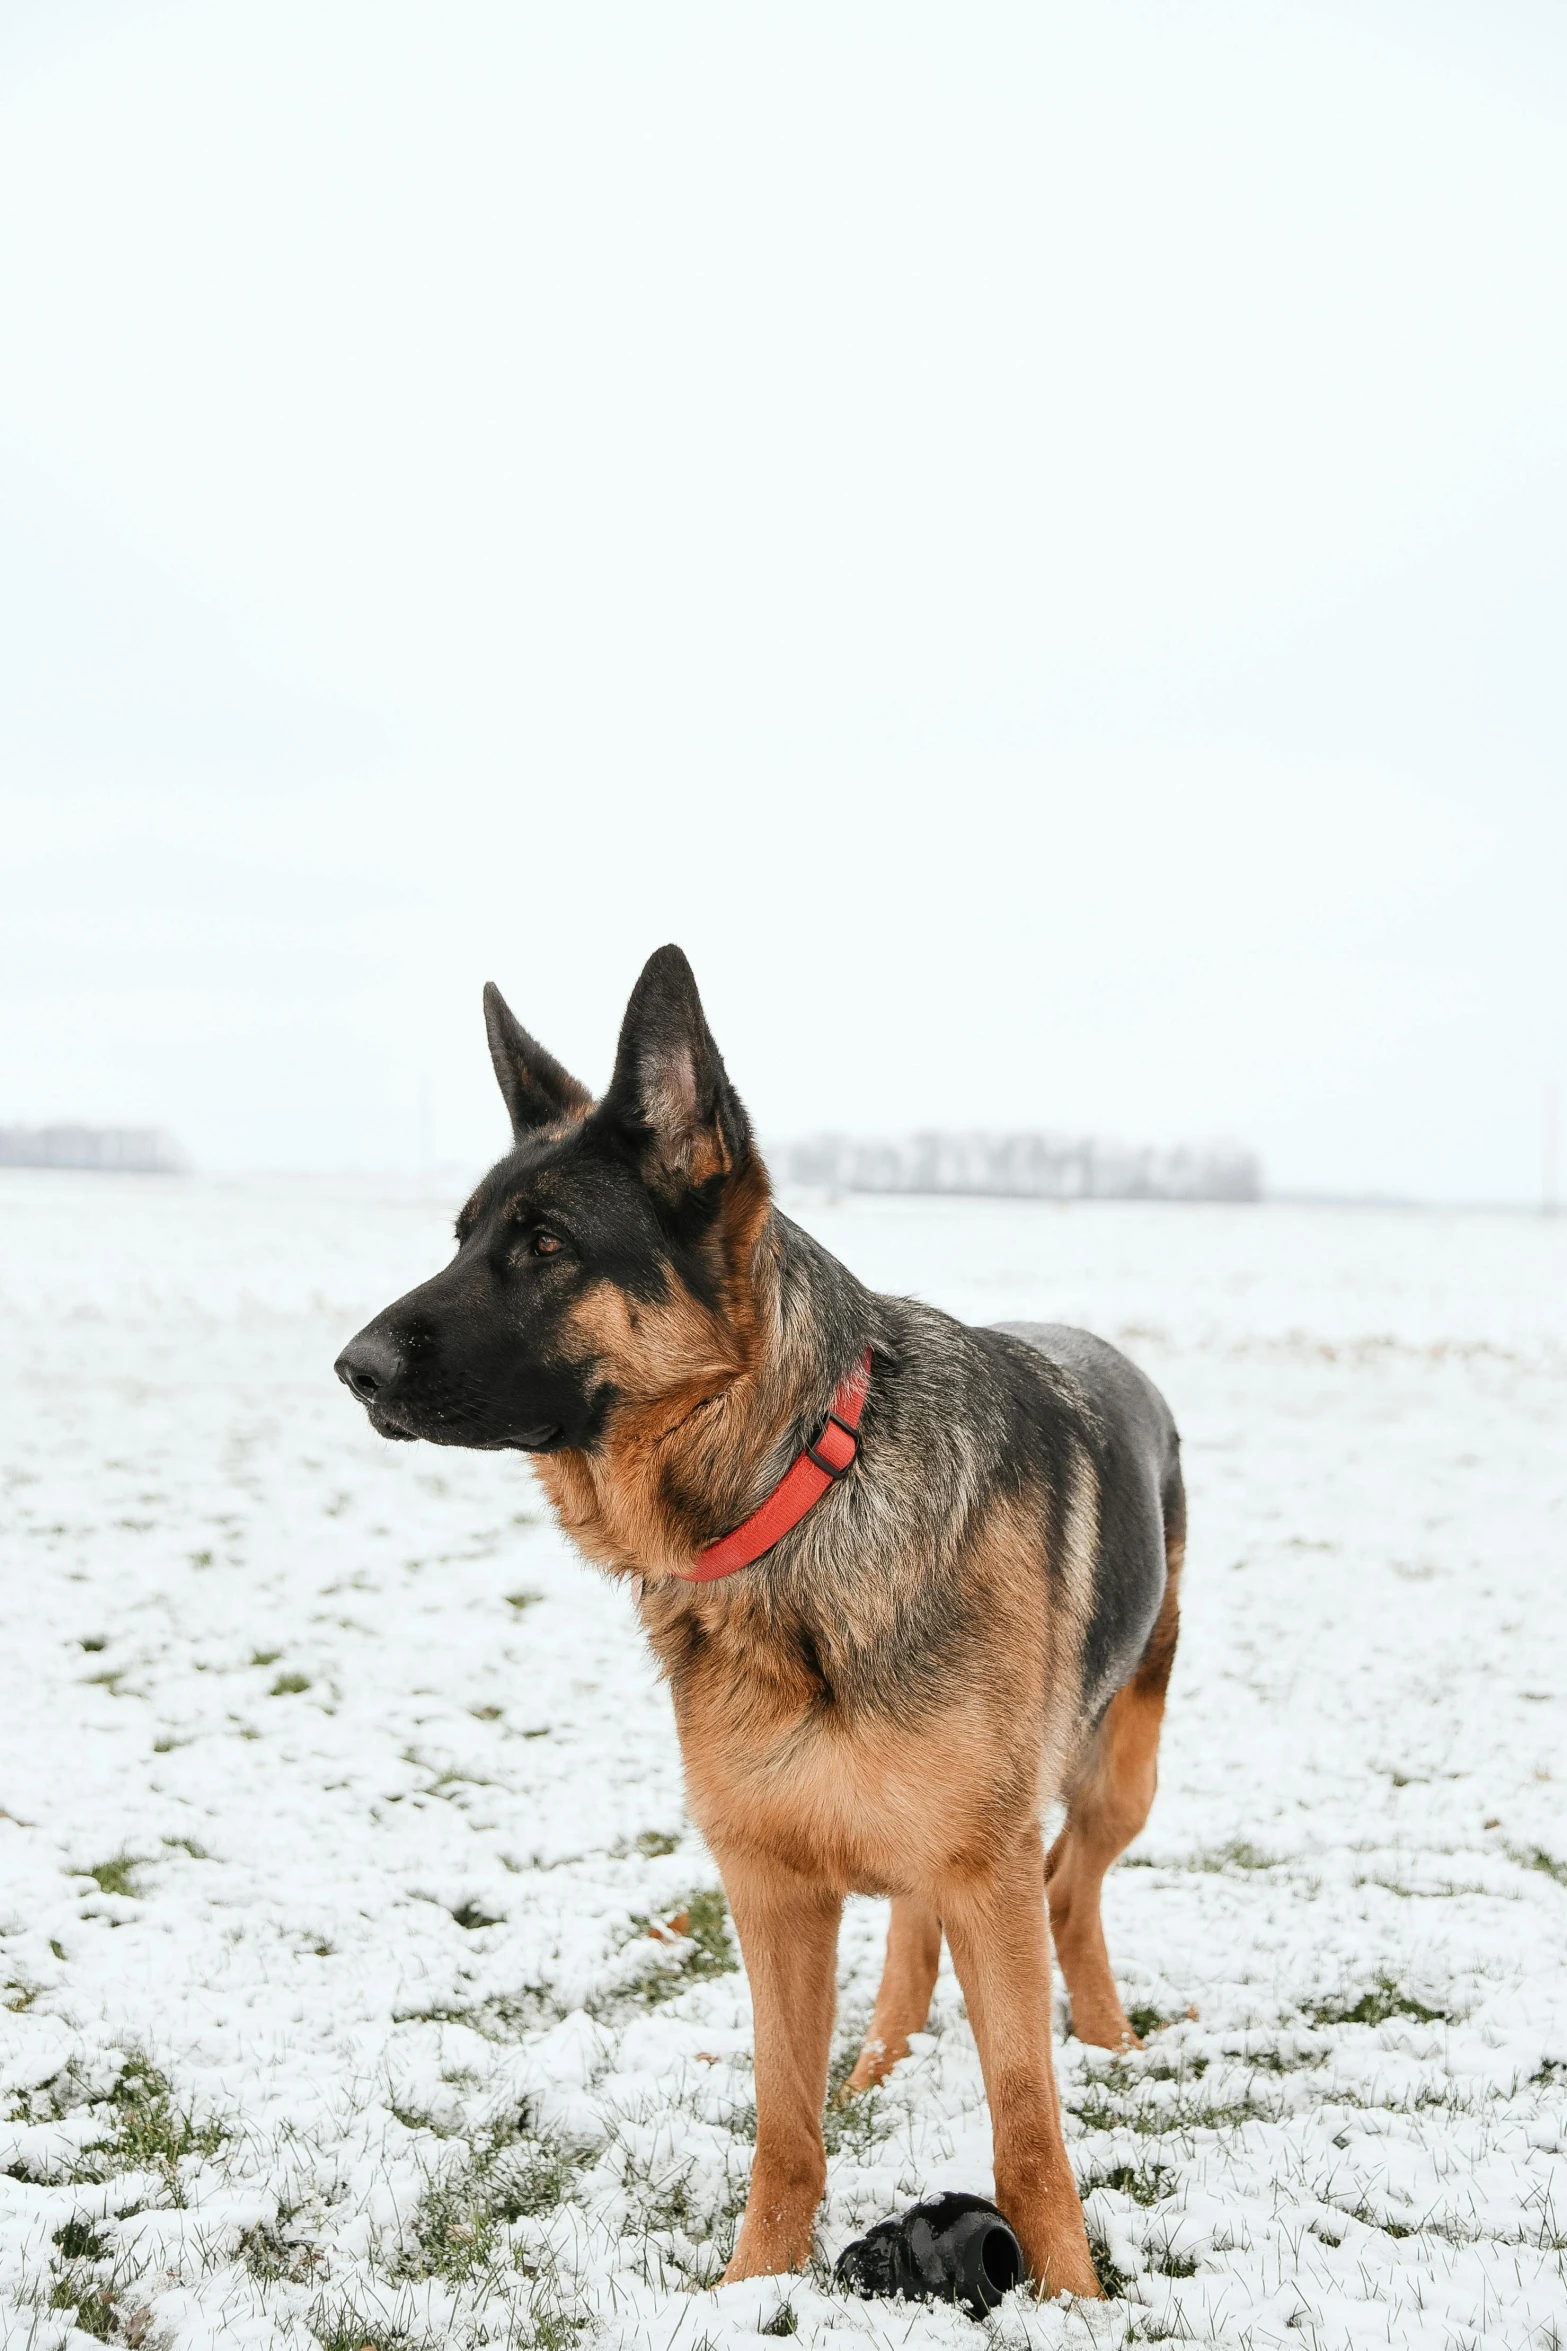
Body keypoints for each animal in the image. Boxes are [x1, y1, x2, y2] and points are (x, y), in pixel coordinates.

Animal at [338, 949, 1184, 2294]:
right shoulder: (771, 1886)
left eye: (545, 1242)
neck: (794, 1493)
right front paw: (750, 2290)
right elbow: (785, 2120)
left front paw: (1072, 2298)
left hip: (1116, 1774)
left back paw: (1107, 2040)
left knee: (1073, 1889)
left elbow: (1025, 2123)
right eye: (464, 1237)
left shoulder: (981, 1865)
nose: (353, 1367)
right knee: (916, 1931)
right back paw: (884, 2055)